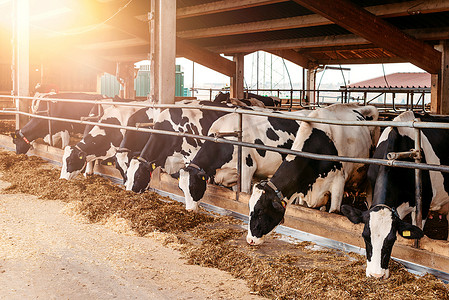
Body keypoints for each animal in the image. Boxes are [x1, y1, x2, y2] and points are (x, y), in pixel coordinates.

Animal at [177, 109, 310, 211]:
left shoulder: (246, 170)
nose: (189, 210)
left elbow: (244, 193)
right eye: (181, 189)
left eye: (194, 186)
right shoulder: (234, 176)